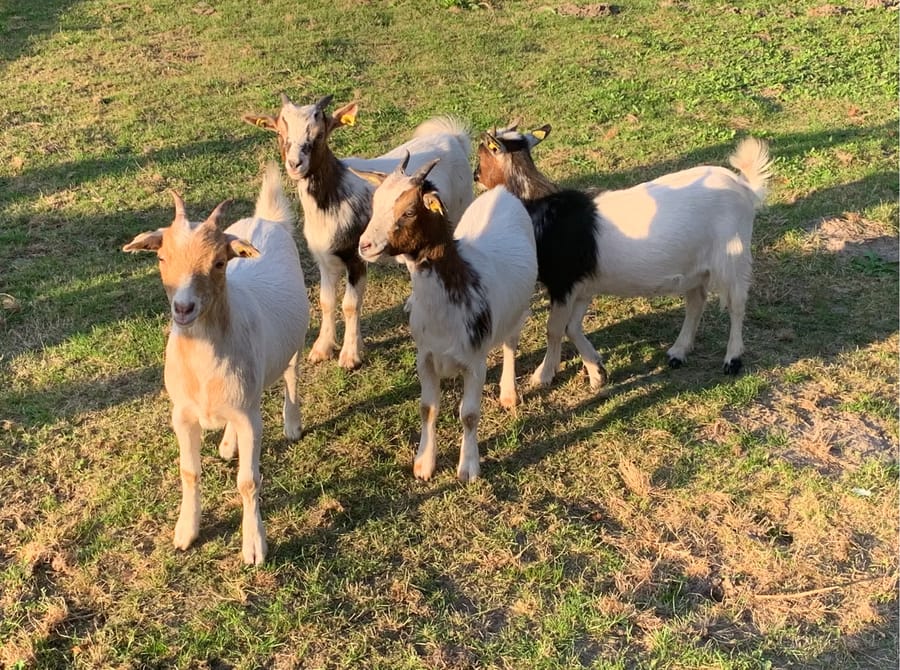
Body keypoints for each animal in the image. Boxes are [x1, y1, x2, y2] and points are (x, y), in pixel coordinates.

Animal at [123, 163, 309, 565]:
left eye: (220, 262)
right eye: (161, 258)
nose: (183, 308)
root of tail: (266, 219)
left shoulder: (250, 417)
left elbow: (248, 481)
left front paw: (254, 546)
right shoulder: (182, 413)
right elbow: (189, 471)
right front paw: (185, 532)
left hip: (295, 341)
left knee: (291, 375)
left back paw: (291, 424)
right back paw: (227, 444)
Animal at [242, 94, 472, 369]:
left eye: (320, 134)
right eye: (279, 131)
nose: (295, 164)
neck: (334, 197)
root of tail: (453, 137)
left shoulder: (355, 258)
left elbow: (350, 305)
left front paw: (350, 355)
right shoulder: (325, 259)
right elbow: (326, 301)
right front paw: (322, 349)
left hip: (459, 210)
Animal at [353, 154, 537, 482]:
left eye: (409, 210)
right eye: (375, 203)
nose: (365, 246)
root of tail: (501, 192)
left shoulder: (475, 362)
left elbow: (469, 414)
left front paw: (468, 468)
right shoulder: (425, 356)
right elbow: (428, 408)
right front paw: (424, 464)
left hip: (518, 311)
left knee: (510, 344)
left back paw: (508, 394)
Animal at [475, 124, 772, 387]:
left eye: (482, 154)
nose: (476, 176)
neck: (544, 209)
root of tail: (743, 186)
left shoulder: (564, 283)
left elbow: (555, 329)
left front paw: (543, 376)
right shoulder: (583, 285)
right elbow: (572, 327)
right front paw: (597, 372)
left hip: (733, 256)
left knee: (737, 305)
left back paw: (732, 359)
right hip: (695, 269)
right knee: (696, 303)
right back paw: (678, 352)